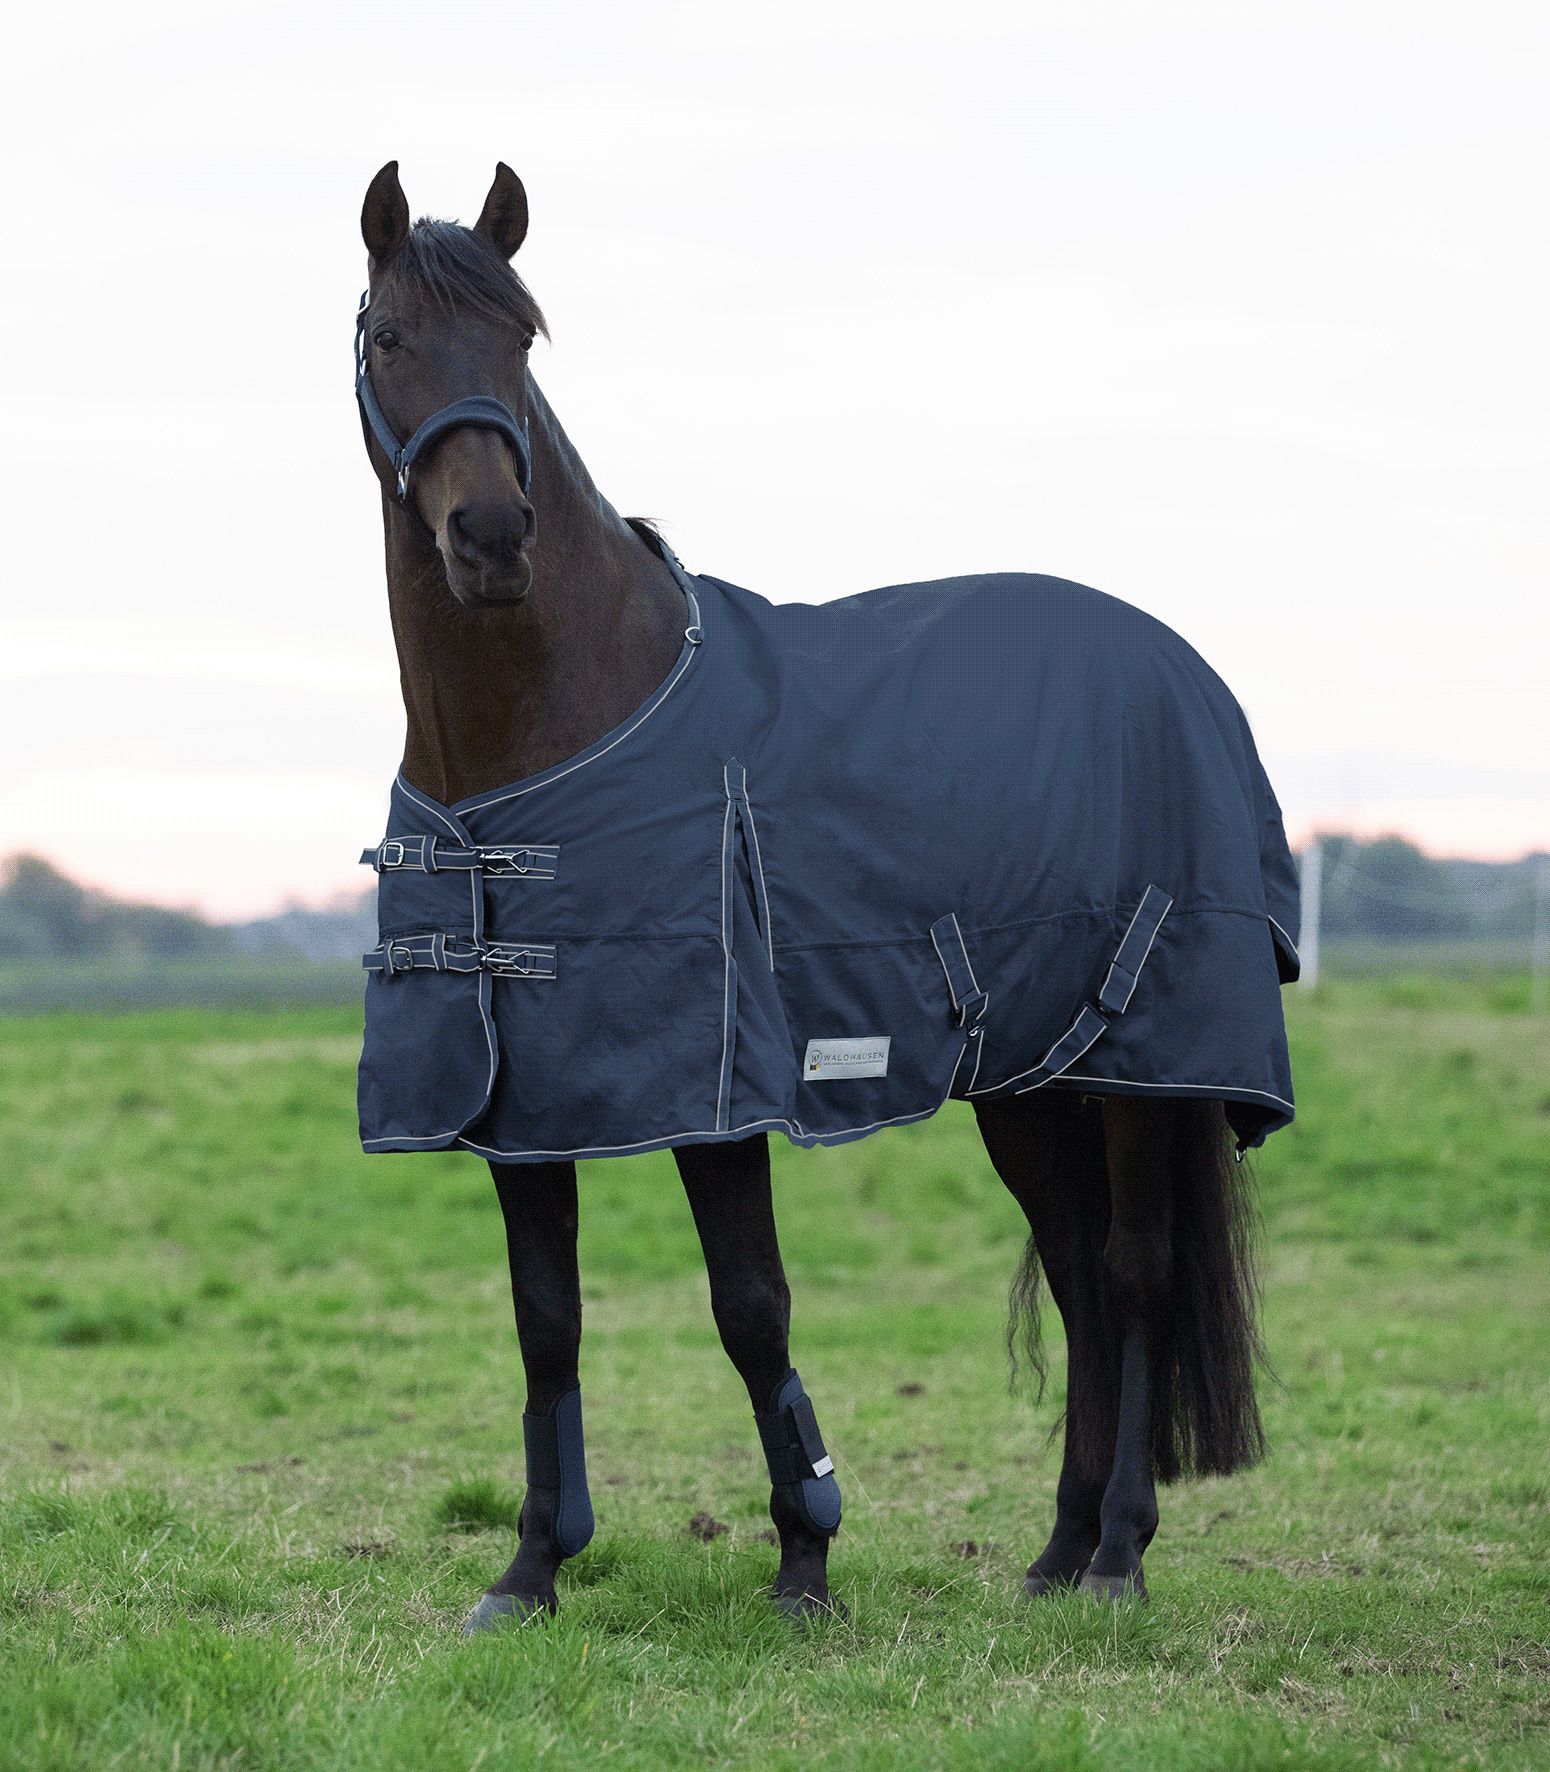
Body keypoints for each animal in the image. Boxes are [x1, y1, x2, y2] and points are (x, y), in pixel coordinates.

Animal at [351, 160, 1284, 1631]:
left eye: (523, 342)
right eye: (390, 336)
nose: (491, 538)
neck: (550, 727)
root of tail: (1179, 665)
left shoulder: (717, 1089)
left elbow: (751, 1305)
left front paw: (804, 1557)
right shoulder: (522, 1098)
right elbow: (545, 1318)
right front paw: (531, 1567)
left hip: (1152, 1063)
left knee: (1133, 1273)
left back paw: (1118, 1557)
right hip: (1030, 1083)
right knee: (1080, 1276)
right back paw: (1054, 1552)